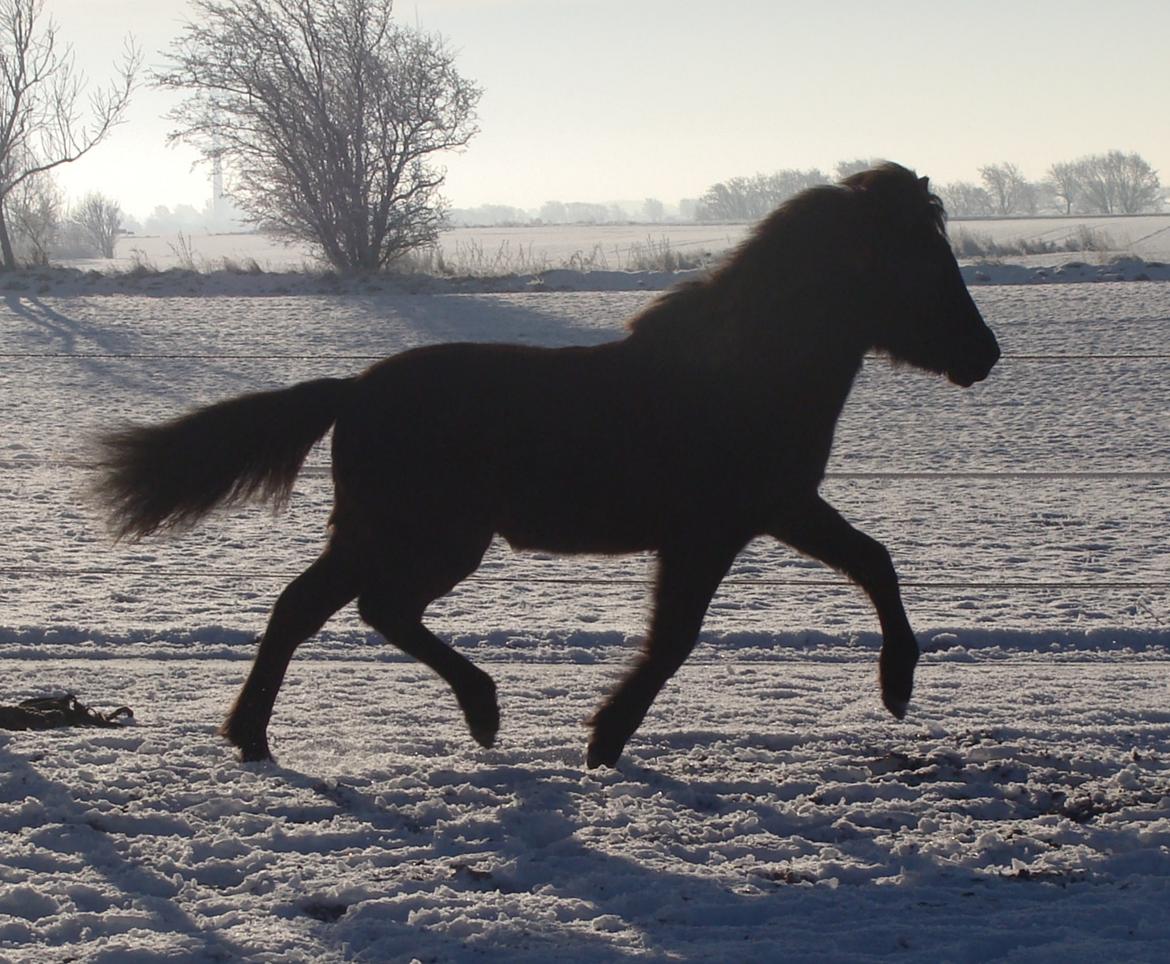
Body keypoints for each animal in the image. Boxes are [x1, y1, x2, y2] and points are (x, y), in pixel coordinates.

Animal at [95, 166, 1001, 767]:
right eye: (923, 262)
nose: (985, 354)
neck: (742, 373)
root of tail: (353, 390)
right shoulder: (716, 530)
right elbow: (677, 636)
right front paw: (605, 738)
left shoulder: (776, 510)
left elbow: (872, 560)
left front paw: (896, 686)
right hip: (426, 536)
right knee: (354, 608)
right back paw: (461, 712)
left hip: (404, 536)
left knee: (327, 608)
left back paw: (279, 733)